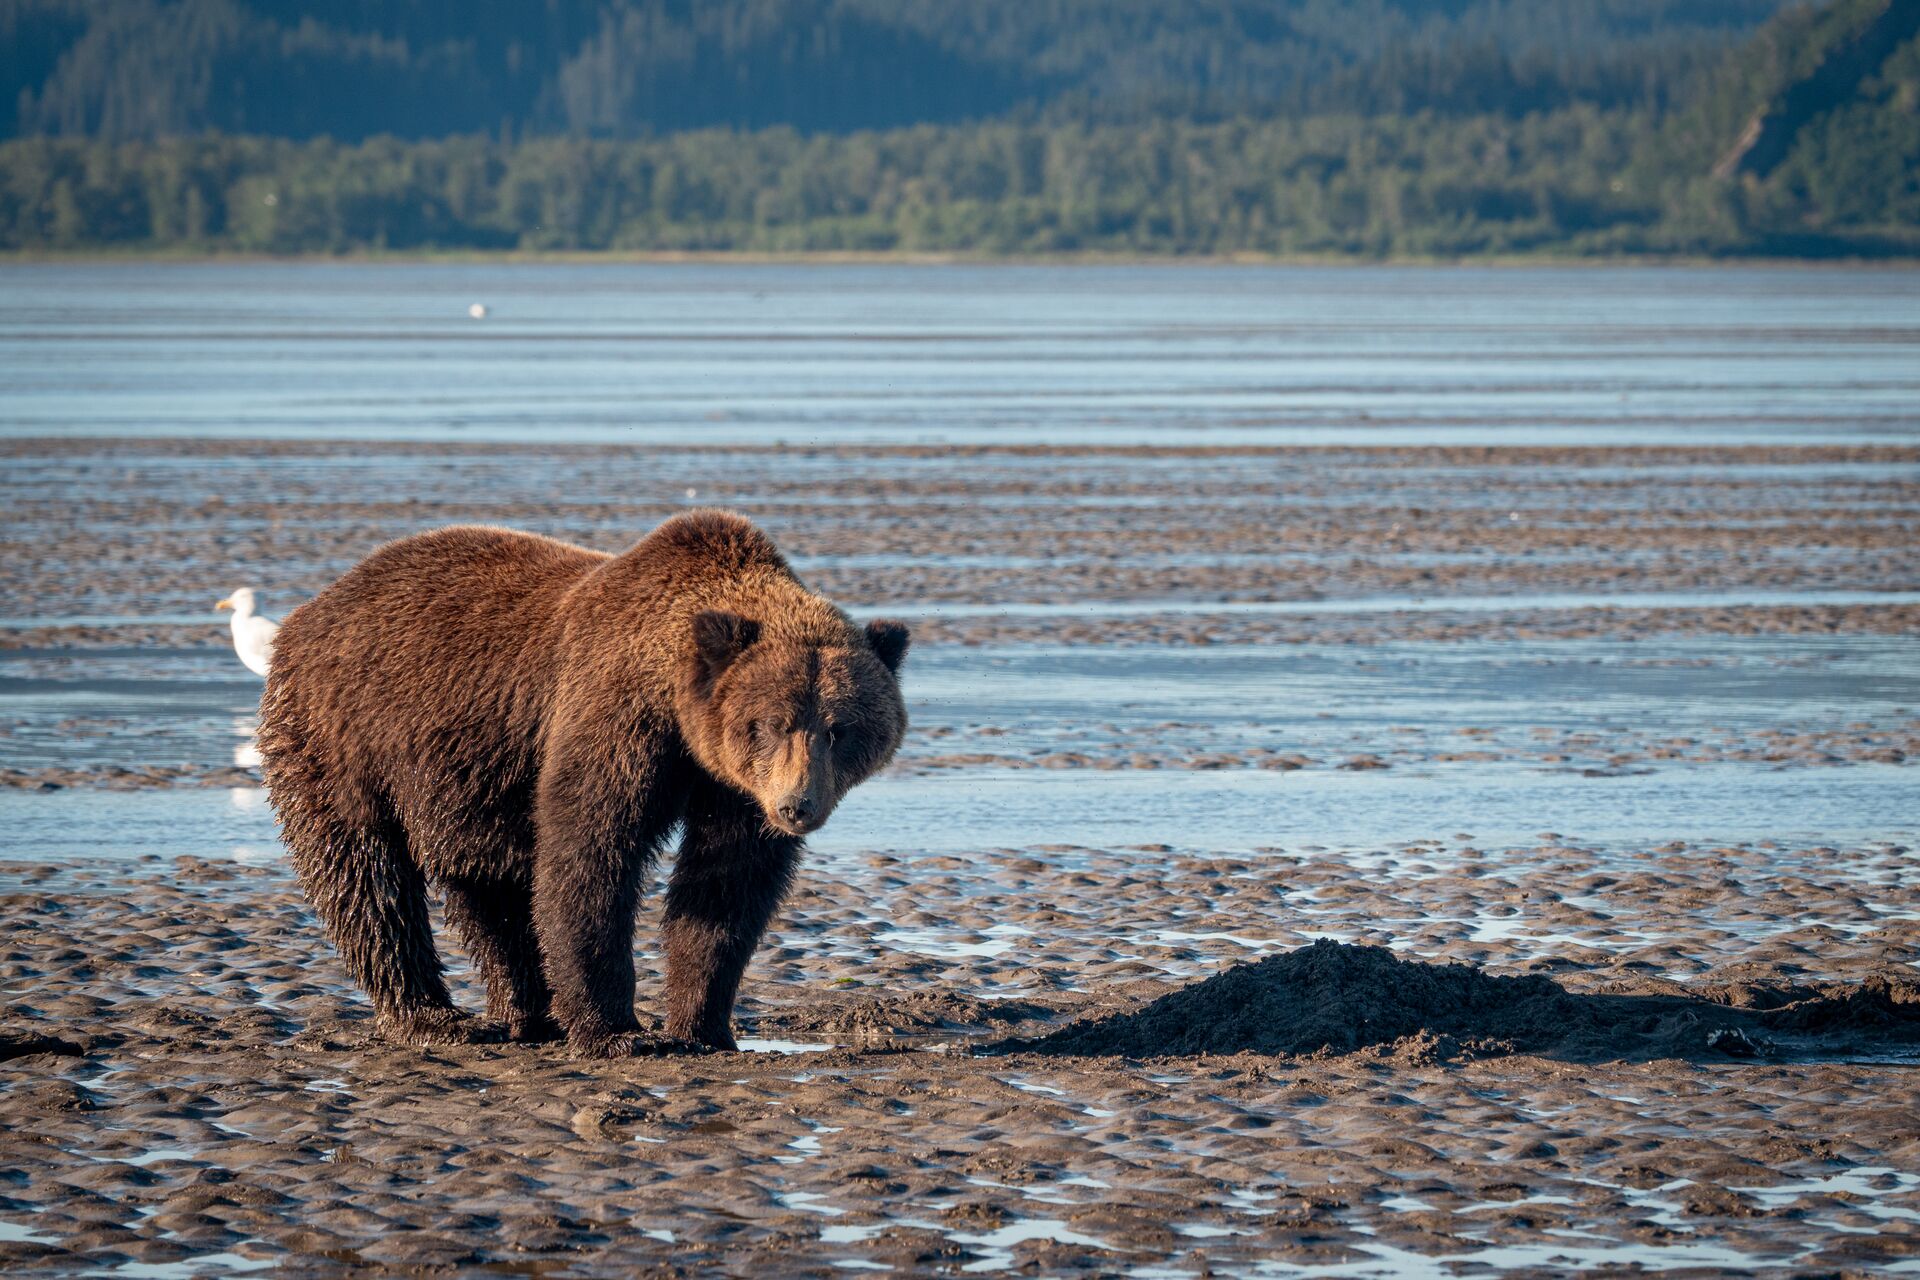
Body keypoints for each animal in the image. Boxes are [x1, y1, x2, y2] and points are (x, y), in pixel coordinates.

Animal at [257, 510, 908, 1058]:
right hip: (343, 738)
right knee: (368, 879)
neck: (678, 708)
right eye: (771, 724)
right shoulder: (614, 721)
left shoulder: (731, 787)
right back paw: (435, 1018)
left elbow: (725, 887)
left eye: (841, 729)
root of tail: (311, 609)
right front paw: (616, 1031)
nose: (798, 806)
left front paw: (703, 1025)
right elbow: (589, 857)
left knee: (489, 890)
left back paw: (526, 1014)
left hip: (467, 781)